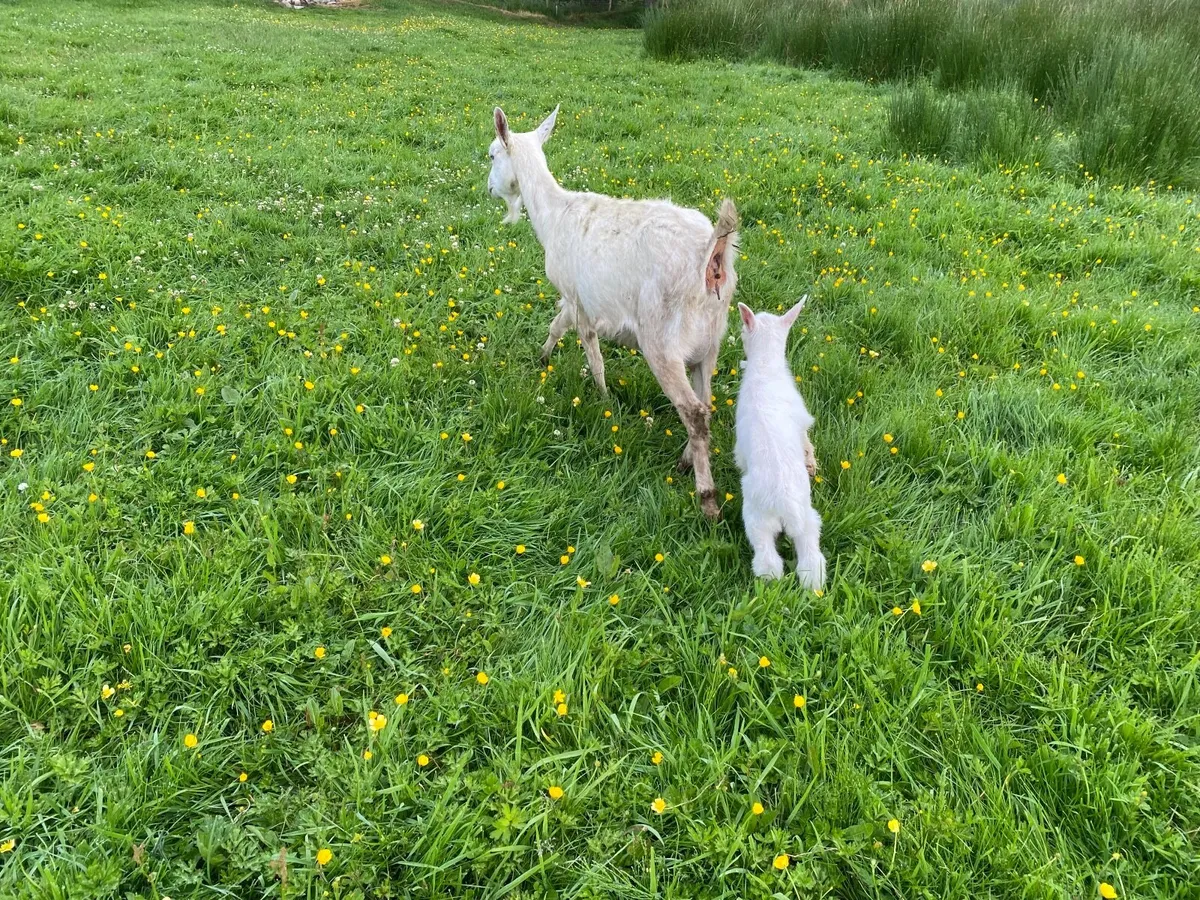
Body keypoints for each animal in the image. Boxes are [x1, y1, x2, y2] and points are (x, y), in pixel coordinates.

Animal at [487, 105, 739, 519]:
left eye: (492, 154)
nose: (490, 189)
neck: (554, 215)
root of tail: (713, 258)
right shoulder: (575, 298)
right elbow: (557, 326)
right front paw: (543, 357)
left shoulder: (577, 296)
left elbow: (592, 351)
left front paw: (603, 398)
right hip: (710, 342)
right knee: (707, 401)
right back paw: (688, 460)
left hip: (663, 341)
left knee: (694, 412)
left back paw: (707, 501)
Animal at [734, 297, 825, 586]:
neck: (766, 366)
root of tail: (786, 506)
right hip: (801, 519)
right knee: (809, 561)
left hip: (757, 520)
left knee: (769, 563)